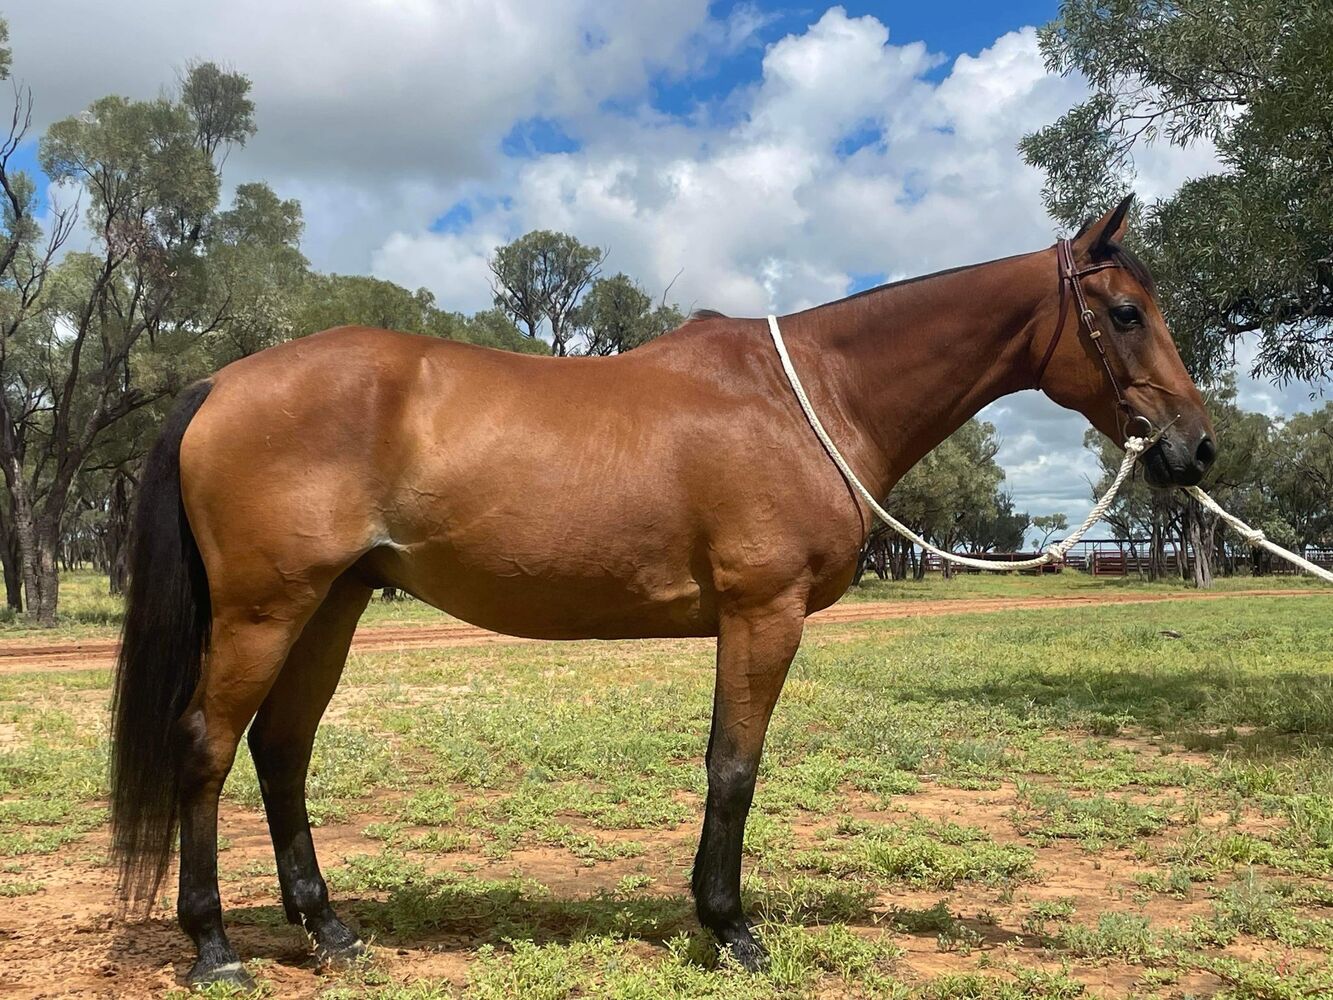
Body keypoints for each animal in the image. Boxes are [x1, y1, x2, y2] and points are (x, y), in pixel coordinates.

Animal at [109, 194, 1215, 988]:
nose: (1196, 448)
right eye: (1125, 313)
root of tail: (220, 383)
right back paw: (214, 949)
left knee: (281, 749)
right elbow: (734, 766)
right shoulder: (761, 612)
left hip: (330, 604)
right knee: (208, 748)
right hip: (265, 610)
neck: (806, 399)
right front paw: (730, 928)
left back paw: (331, 930)